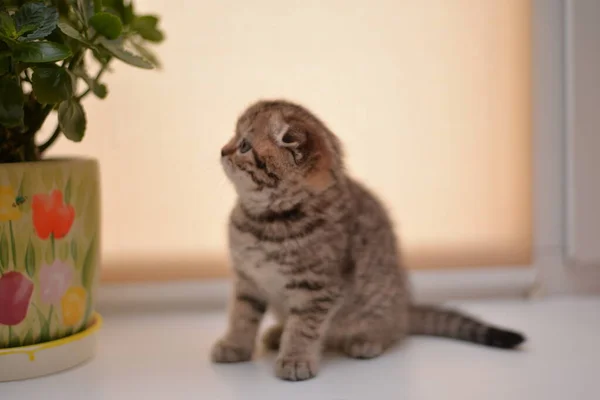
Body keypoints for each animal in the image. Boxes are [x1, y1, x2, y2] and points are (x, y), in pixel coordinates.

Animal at [212, 100, 524, 382]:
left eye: (244, 145)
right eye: (234, 138)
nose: (222, 150)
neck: (263, 223)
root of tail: (405, 309)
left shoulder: (319, 287)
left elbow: (304, 327)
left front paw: (296, 358)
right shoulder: (247, 280)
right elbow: (242, 315)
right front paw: (234, 345)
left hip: (379, 304)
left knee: (394, 332)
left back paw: (366, 341)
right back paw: (278, 333)